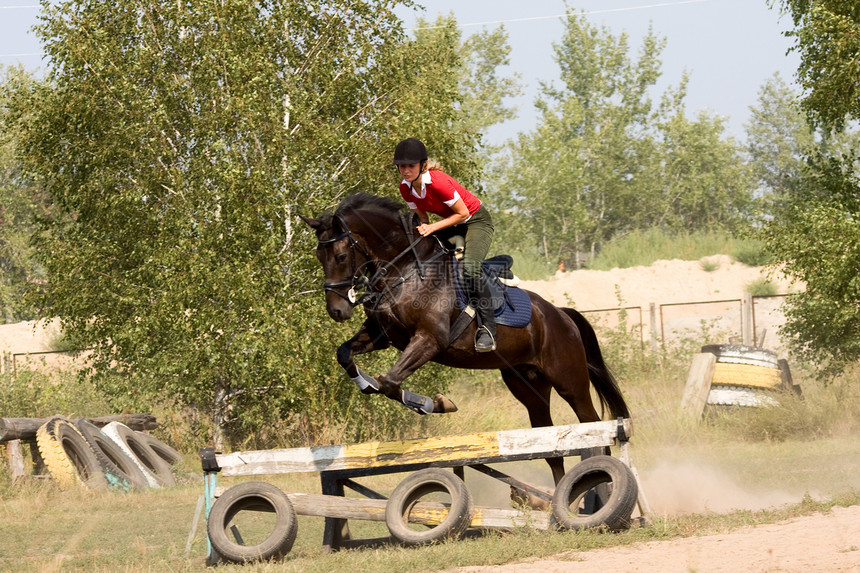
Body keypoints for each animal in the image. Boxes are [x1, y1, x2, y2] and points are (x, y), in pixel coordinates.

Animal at [298, 193, 628, 488]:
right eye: (318, 257)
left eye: (341, 256)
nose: (337, 311)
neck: (405, 271)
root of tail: (561, 314)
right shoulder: (385, 335)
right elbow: (346, 355)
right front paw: (367, 383)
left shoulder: (430, 339)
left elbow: (391, 382)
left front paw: (432, 404)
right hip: (529, 387)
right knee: (547, 445)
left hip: (569, 381)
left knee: (593, 426)